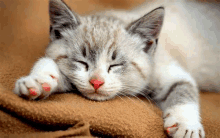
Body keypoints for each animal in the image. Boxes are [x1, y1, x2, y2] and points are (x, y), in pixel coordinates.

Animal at [13, 0, 220, 137]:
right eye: (82, 62)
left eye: (115, 65)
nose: (96, 82)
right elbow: (48, 64)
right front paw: (37, 81)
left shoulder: (171, 71)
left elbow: (184, 90)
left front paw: (186, 125)